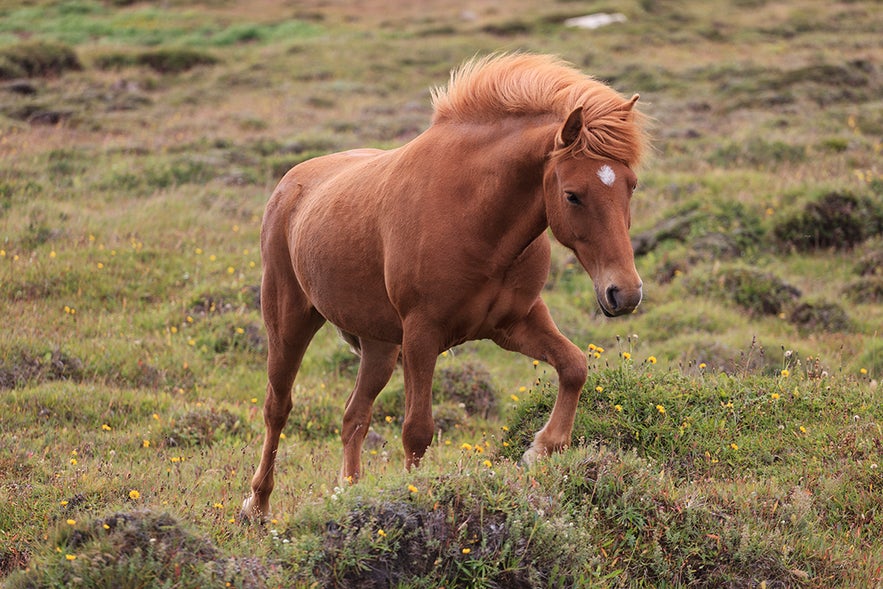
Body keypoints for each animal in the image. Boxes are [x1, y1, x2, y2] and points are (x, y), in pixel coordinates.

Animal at [242, 52, 648, 516]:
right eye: (572, 195)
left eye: (631, 185)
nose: (624, 293)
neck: (475, 216)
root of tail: (290, 184)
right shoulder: (423, 334)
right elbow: (417, 430)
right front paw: (415, 497)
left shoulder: (517, 324)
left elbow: (575, 367)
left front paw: (541, 448)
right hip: (289, 321)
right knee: (278, 408)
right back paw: (257, 506)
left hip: (380, 347)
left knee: (353, 417)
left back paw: (347, 492)